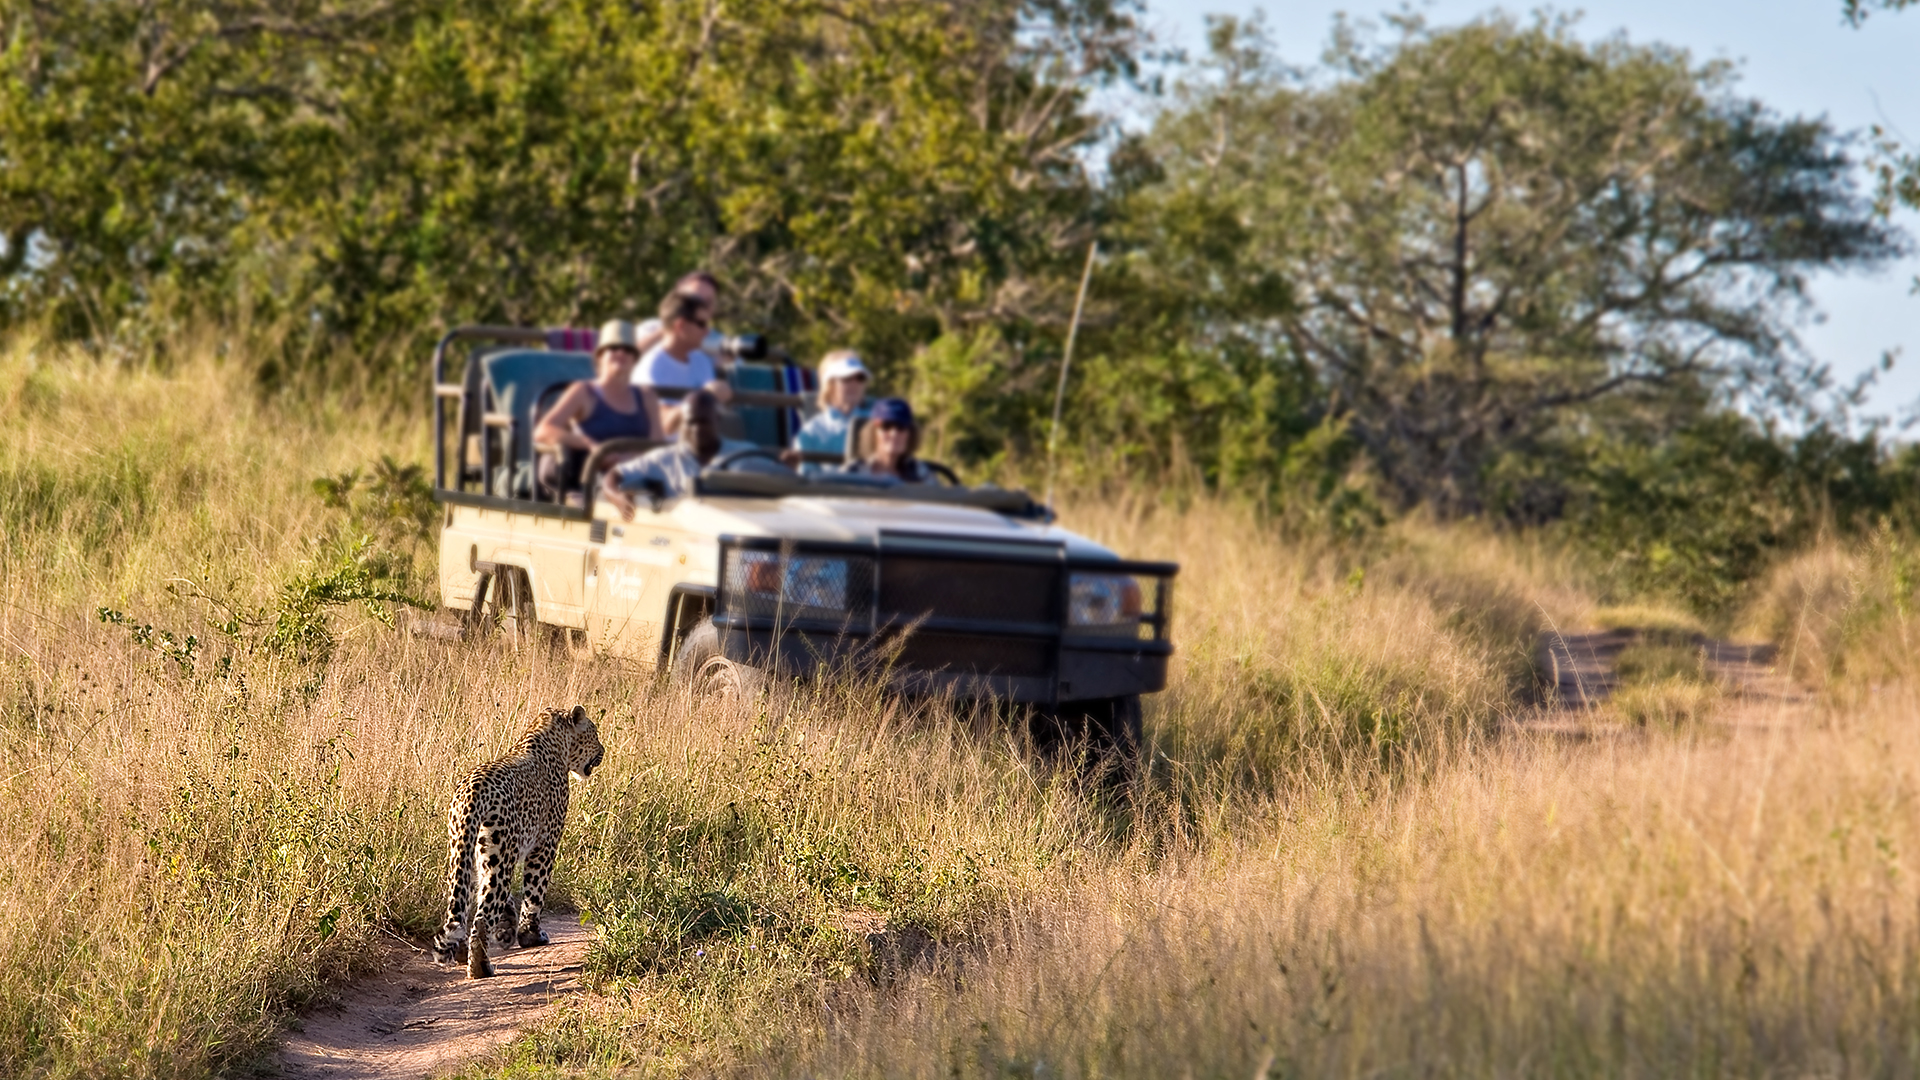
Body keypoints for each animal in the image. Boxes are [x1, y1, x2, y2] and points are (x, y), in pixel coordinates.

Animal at [432, 704, 605, 978]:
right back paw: (480, 967)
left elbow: (508, 902)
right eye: (594, 734)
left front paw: (507, 930)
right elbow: (535, 892)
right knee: (482, 917)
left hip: (464, 852)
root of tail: (473, 791)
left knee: (462, 904)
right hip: (500, 854)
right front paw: (530, 935)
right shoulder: (545, 844)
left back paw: (462, 951)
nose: (603, 751)